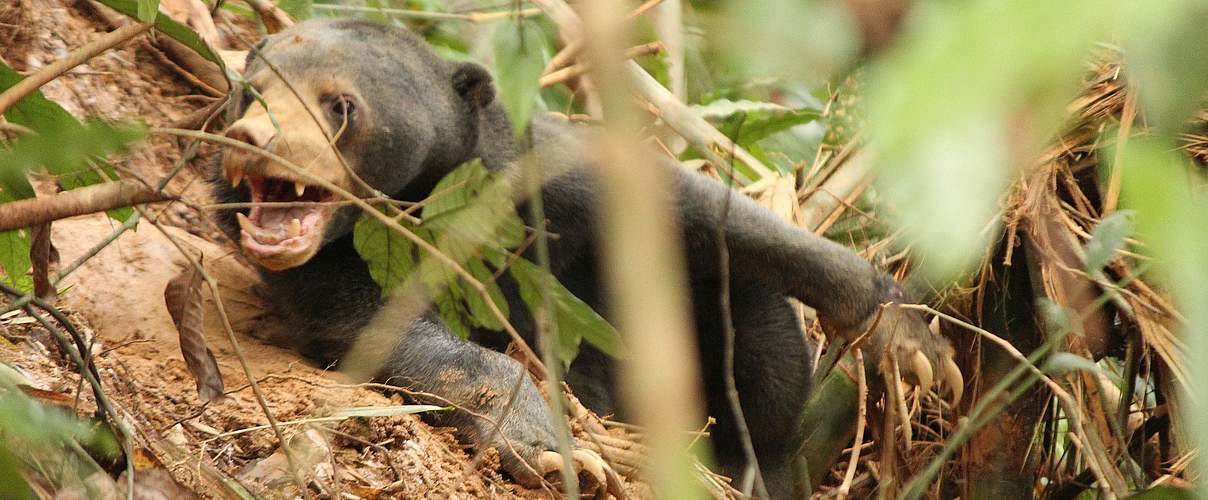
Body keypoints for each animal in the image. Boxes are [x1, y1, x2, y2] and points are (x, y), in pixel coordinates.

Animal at [210, 17, 961, 497]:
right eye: (254, 92)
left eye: (339, 107)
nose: (250, 140)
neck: (433, 203)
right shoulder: (328, 272)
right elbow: (394, 334)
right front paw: (550, 451)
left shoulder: (545, 174)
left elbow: (706, 210)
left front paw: (911, 343)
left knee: (762, 350)